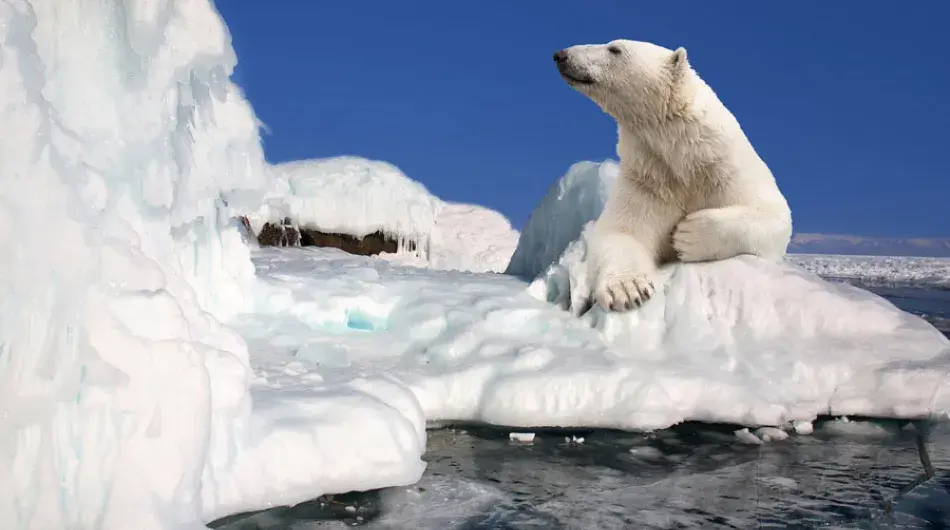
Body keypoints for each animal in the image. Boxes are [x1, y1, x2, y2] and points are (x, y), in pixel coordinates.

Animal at [553, 39, 793, 312]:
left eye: (614, 49)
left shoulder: (728, 170)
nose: (561, 55)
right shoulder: (648, 180)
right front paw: (628, 289)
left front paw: (688, 234)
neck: (686, 161)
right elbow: (622, 231)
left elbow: (774, 216)